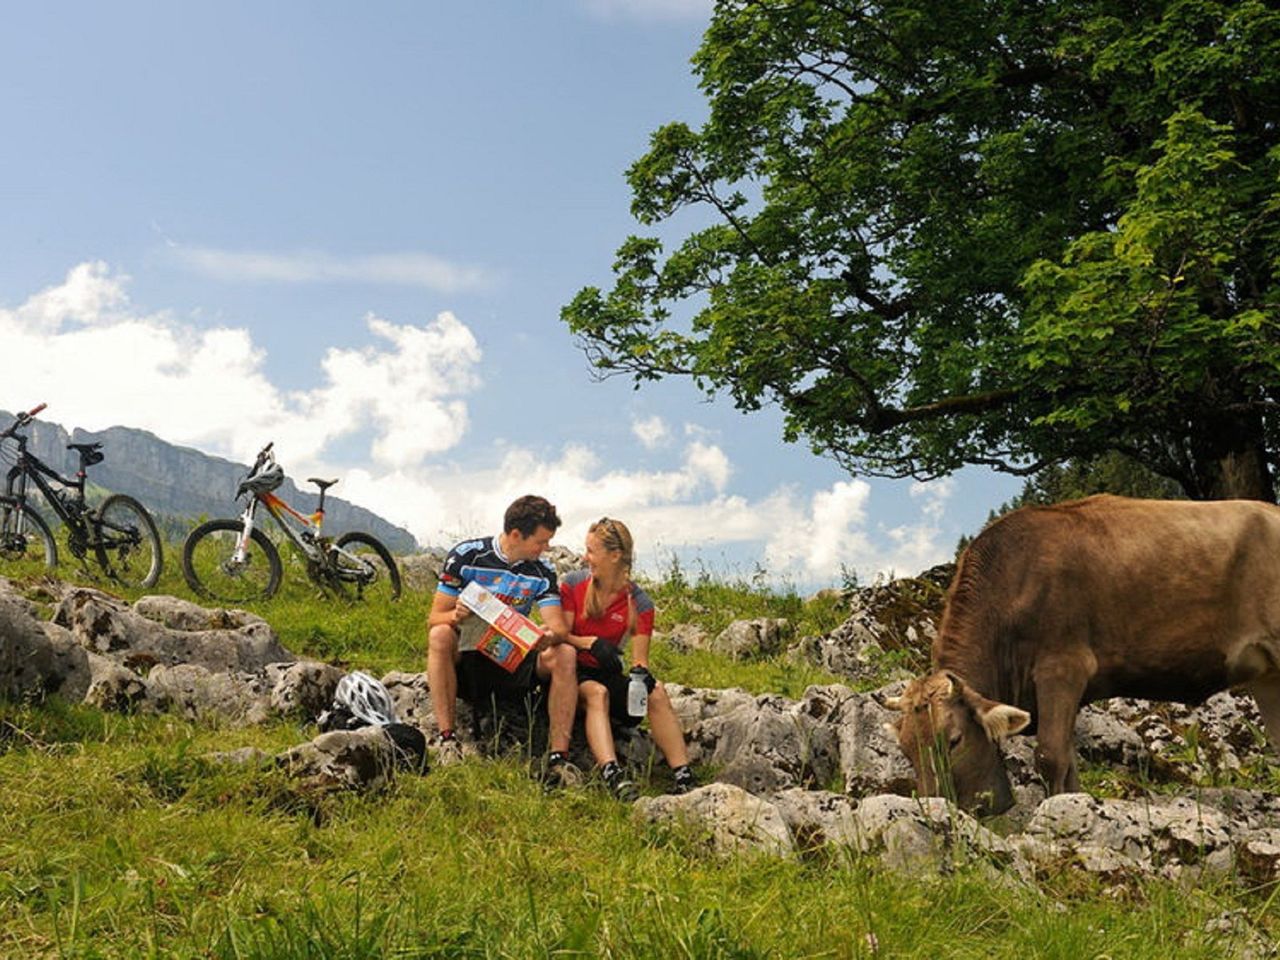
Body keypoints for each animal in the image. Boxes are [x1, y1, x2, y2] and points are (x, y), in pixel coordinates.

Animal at [885, 496, 1280, 819]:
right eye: (904, 748)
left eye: (954, 740)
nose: (935, 806)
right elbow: (1070, 762)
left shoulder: (1062, 667)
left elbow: (1051, 756)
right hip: (1267, 675)